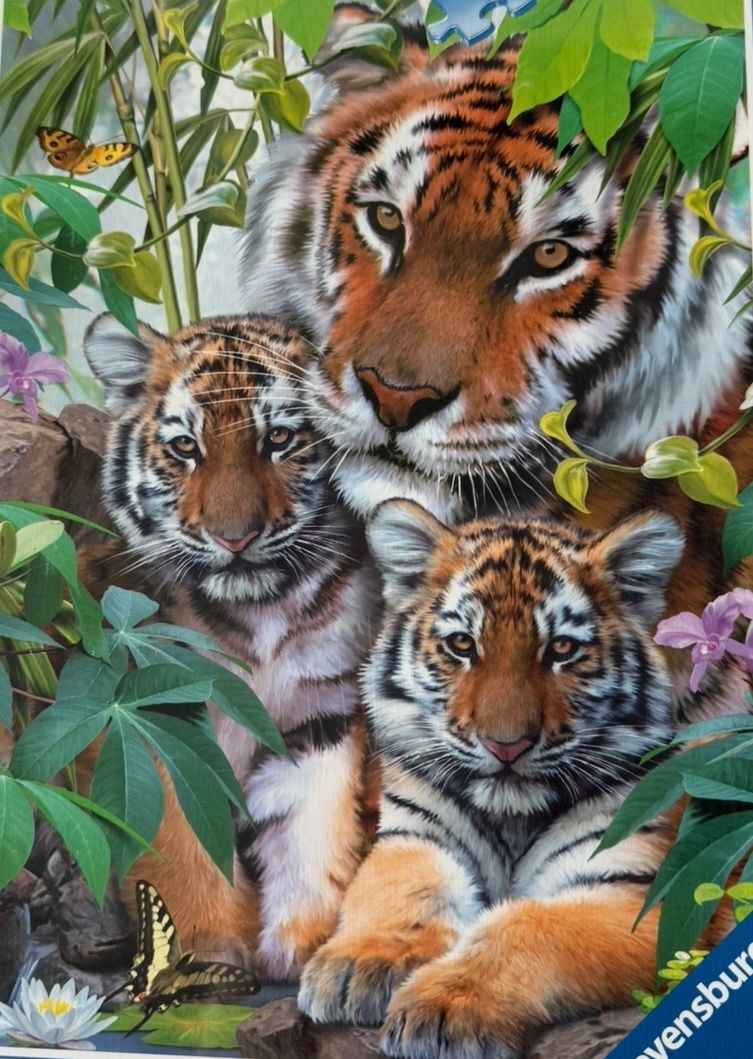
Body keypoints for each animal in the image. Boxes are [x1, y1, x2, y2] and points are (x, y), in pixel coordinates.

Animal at [79, 312, 382, 978]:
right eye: (185, 448)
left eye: (281, 440)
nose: (234, 538)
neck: (259, 614)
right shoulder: (160, 719)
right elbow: (184, 839)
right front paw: (207, 946)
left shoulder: (320, 716)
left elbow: (311, 823)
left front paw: (303, 938)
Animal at [299, 498, 732, 1057]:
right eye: (463, 644)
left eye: (562, 649)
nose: (506, 745)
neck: (511, 816)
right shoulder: (413, 835)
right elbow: (401, 889)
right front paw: (359, 965)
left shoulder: (638, 895)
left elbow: (526, 924)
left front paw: (445, 1007)